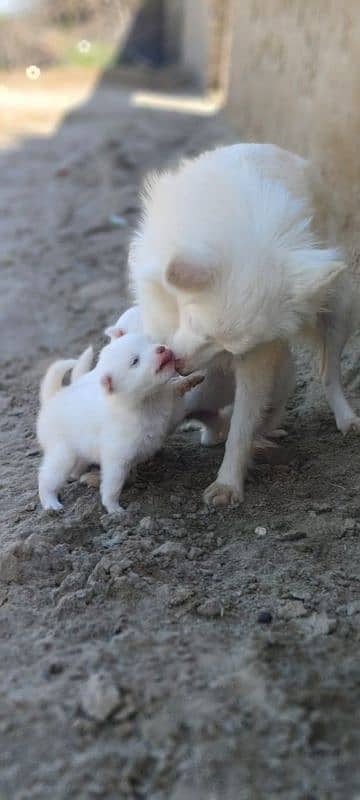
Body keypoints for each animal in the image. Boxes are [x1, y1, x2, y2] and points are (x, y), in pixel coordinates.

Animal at [38, 334, 204, 516]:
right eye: (135, 361)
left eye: (150, 342)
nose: (161, 348)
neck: (148, 400)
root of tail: (52, 398)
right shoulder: (117, 459)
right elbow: (113, 485)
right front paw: (114, 509)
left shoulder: (170, 410)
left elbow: (174, 389)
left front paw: (190, 379)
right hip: (62, 454)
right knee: (46, 478)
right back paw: (51, 503)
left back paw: (75, 476)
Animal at [130, 144, 358, 506]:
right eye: (192, 321)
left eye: (232, 347)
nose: (180, 365)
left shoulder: (258, 357)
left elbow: (242, 424)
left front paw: (228, 483)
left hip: (339, 309)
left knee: (327, 373)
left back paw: (342, 418)